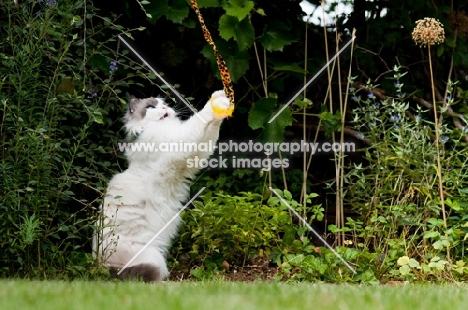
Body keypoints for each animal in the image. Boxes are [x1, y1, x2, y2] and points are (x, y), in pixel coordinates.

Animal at [93, 89, 232, 280]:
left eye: (164, 103)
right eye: (151, 107)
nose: (165, 108)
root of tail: (101, 268)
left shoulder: (193, 156)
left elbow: (211, 128)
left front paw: (220, 100)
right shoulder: (182, 142)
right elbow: (200, 118)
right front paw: (217, 102)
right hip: (153, 257)